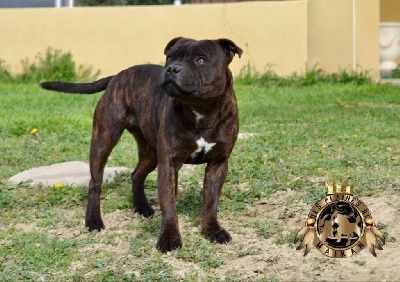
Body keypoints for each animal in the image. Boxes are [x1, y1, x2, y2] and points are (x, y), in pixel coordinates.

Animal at [40, 37, 242, 251]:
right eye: (170, 57)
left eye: (201, 59)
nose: (172, 69)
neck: (200, 110)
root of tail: (117, 76)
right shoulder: (168, 164)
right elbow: (169, 204)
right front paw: (169, 237)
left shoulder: (218, 164)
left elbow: (211, 202)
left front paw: (212, 230)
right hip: (104, 139)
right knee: (95, 181)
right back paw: (93, 220)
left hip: (150, 153)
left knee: (136, 175)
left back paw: (142, 207)